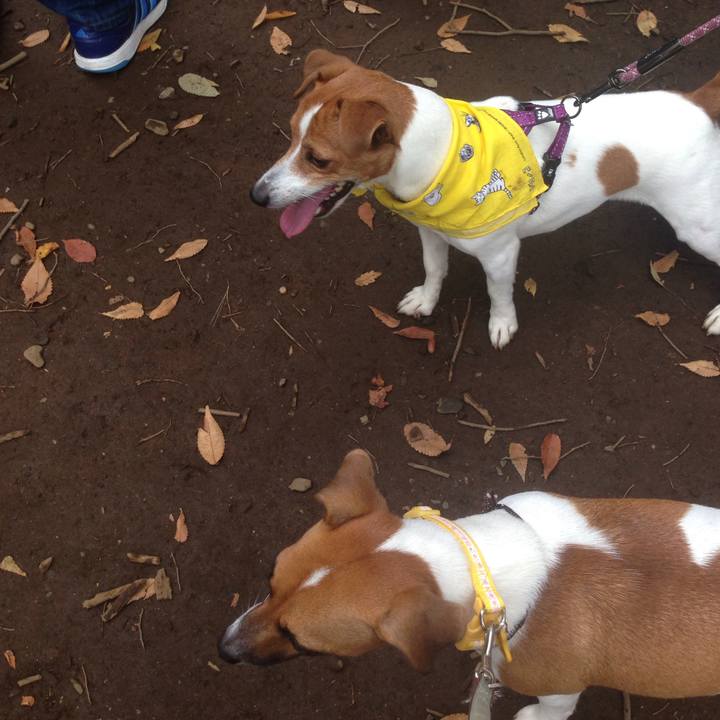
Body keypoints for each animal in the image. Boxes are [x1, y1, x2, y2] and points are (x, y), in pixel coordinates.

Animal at [250, 49, 720, 349]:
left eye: (318, 159)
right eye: (291, 135)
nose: (257, 196)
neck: (446, 156)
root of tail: (696, 104)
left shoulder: (500, 254)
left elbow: (499, 295)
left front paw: (502, 324)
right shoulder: (430, 231)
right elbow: (434, 269)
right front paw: (427, 299)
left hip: (697, 228)